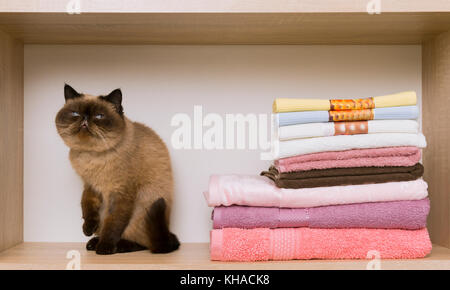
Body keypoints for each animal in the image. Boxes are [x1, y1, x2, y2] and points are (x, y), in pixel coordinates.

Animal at [57, 84, 180, 254]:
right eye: (75, 114)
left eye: (99, 116)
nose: (85, 119)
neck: (92, 155)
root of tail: (168, 231)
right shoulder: (90, 186)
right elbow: (87, 206)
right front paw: (88, 229)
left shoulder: (120, 193)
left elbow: (113, 224)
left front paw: (105, 248)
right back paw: (92, 242)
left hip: (144, 205)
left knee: (144, 243)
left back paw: (114, 246)